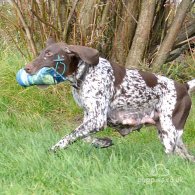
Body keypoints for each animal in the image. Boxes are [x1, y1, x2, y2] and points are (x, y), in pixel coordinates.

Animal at [24, 38, 195, 161]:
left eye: (49, 54)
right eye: (41, 53)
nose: (26, 68)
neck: (85, 74)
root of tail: (183, 87)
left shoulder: (97, 120)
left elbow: (68, 137)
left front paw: (53, 149)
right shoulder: (90, 117)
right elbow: (85, 138)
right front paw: (103, 142)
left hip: (169, 133)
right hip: (170, 135)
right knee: (187, 156)